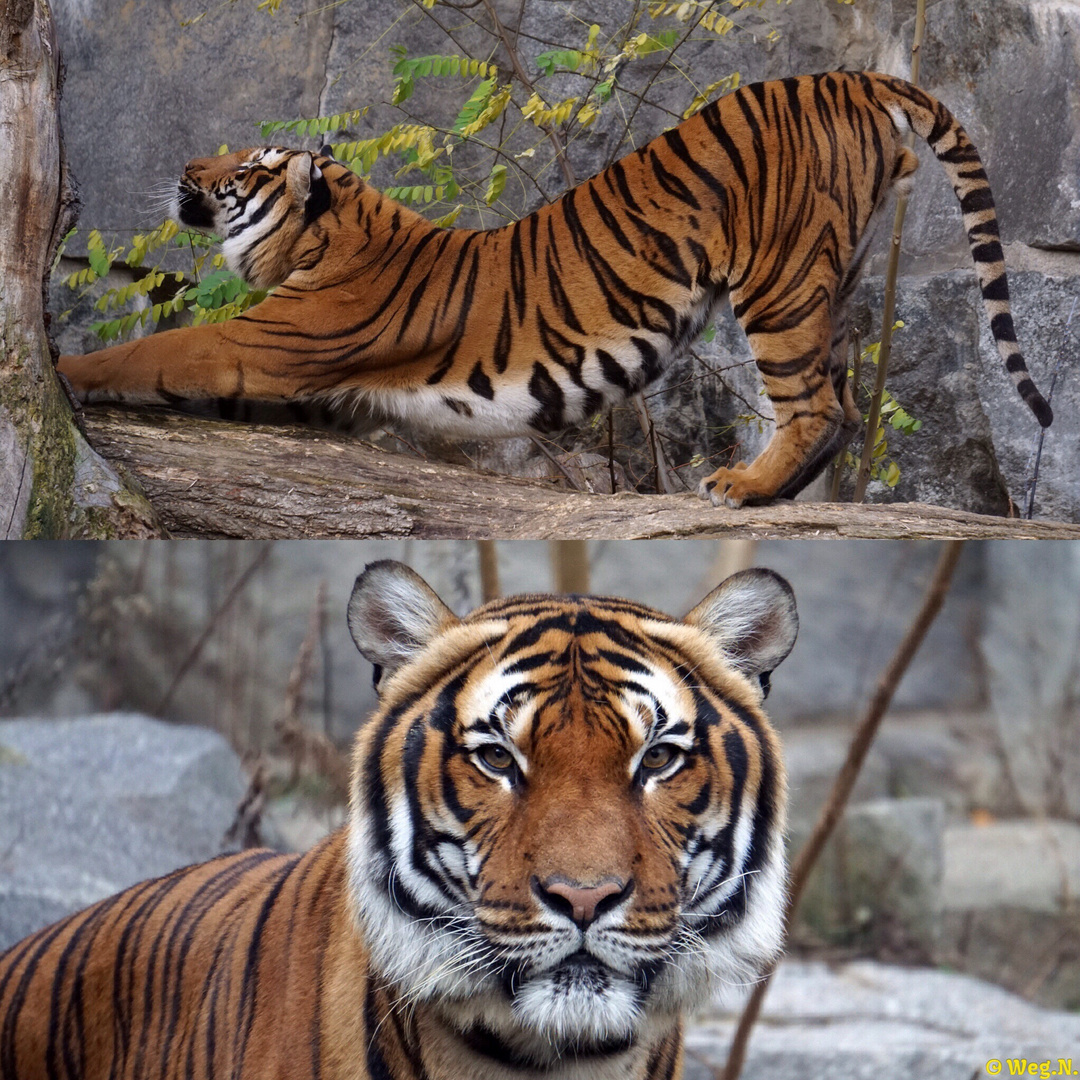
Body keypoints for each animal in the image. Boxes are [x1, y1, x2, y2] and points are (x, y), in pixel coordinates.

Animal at [56, 71, 1045, 505]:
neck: (329, 237)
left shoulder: (268, 342)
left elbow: (150, 351)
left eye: (243, 170)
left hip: (783, 281)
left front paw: (59, 371)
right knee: (837, 402)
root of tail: (846, 73)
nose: (188, 167)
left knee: (815, 404)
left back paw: (744, 488)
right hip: (835, 274)